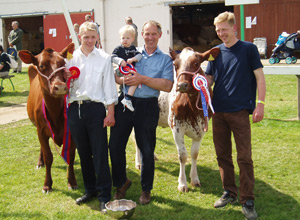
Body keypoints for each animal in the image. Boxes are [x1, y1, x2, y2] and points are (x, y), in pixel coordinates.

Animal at [18, 43, 77, 192]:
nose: (60, 87)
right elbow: (48, 156)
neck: (55, 110)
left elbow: (70, 155)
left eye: (63, 63)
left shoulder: (71, 131)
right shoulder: (41, 130)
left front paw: (72, 181)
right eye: (41, 65)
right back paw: (40, 162)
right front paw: (47, 184)